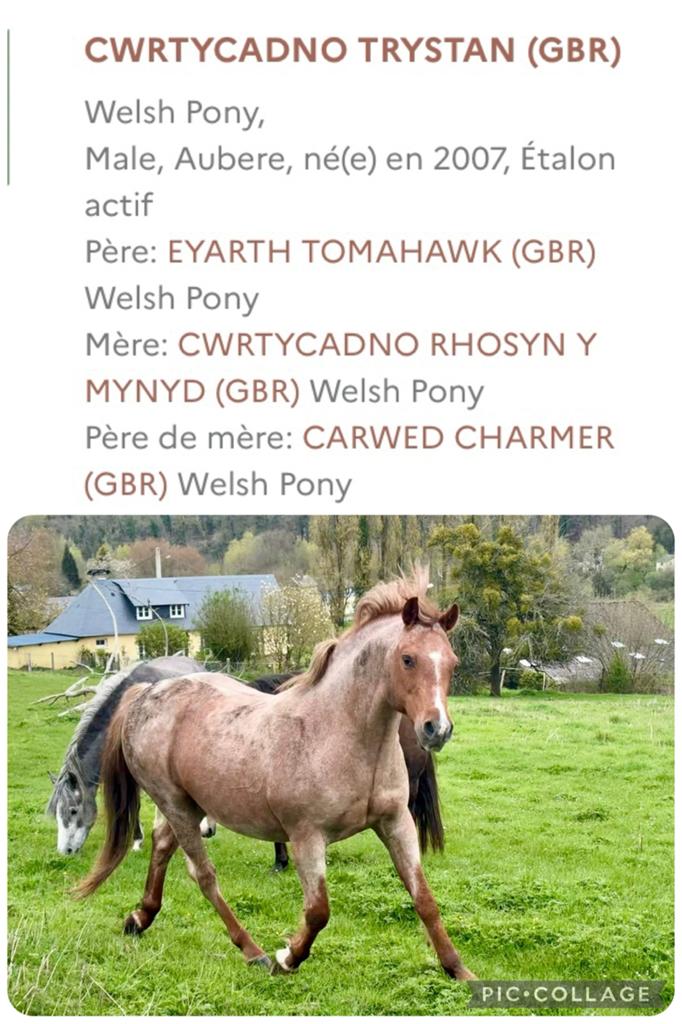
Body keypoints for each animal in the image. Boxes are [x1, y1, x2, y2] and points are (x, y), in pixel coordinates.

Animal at [75, 571, 475, 980]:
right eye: (408, 658)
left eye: (452, 662)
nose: (436, 729)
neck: (338, 735)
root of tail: (145, 693)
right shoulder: (307, 837)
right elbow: (318, 911)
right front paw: (288, 957)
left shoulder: (396, 823)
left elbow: (424, 899)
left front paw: (457, 968)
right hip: (175, 805)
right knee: (203, 875)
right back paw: (253, 952)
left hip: (186, 805)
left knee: (161, 848)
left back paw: (140, 918)